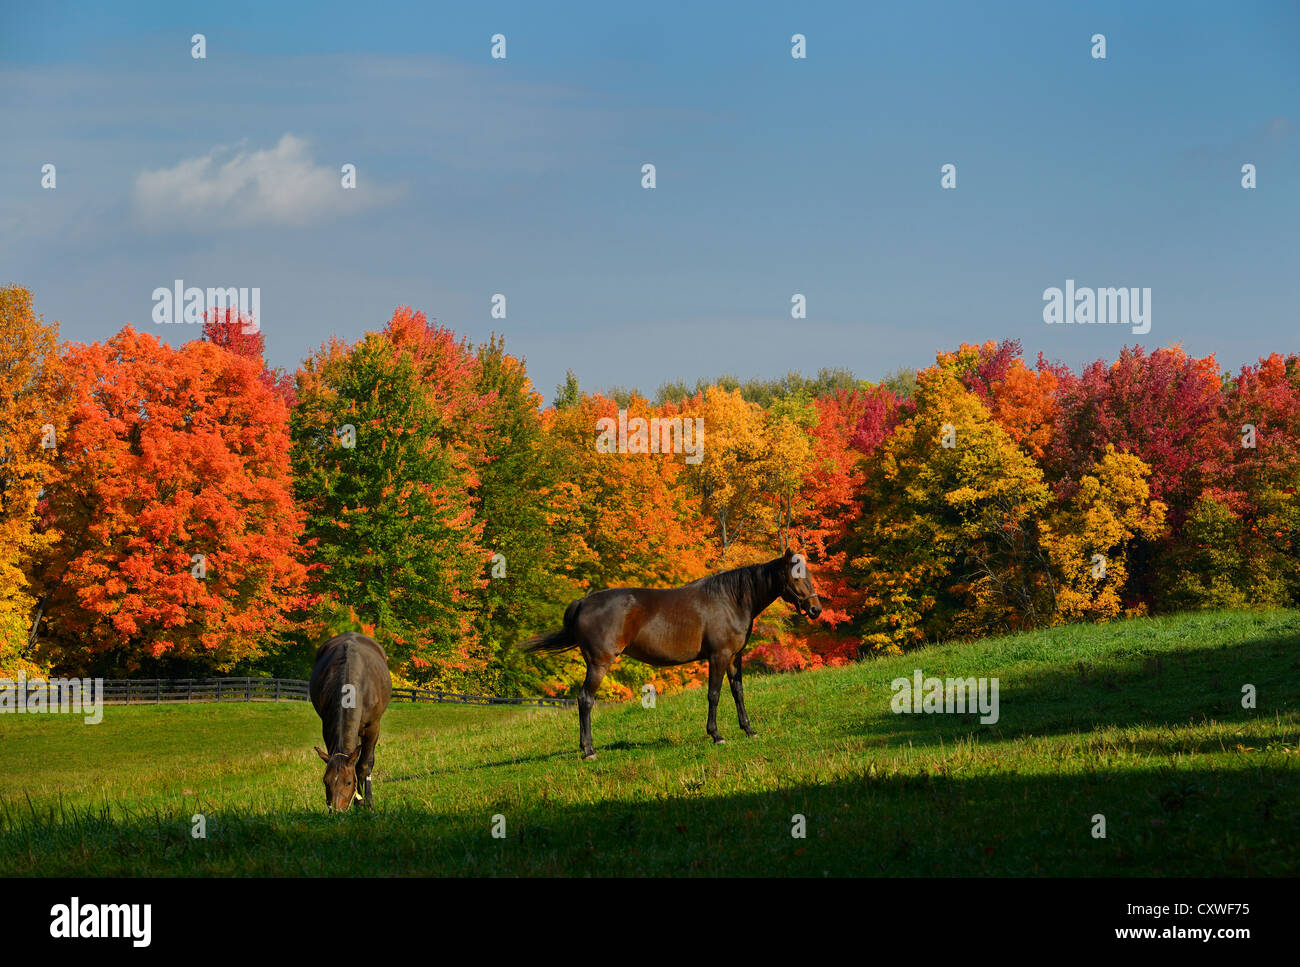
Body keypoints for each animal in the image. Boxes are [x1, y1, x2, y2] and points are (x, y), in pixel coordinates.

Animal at [309, 631, 390, 811]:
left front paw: (367, 803)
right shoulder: (327, 726)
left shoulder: (373, 727)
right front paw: (358, 802)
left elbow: (364, 765)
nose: (335, 810)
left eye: (348, 782)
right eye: (325, 781)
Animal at [517, 548, 821, 759]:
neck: (731, 600)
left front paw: (749, 730)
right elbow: (714, 694)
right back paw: (588, 750)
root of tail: (583, 602)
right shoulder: (718, 656)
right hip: (598, 665)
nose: (816, 609)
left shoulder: (735, 657)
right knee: (585, 700)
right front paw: (716, 735)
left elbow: (738, 693)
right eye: (796, 576)